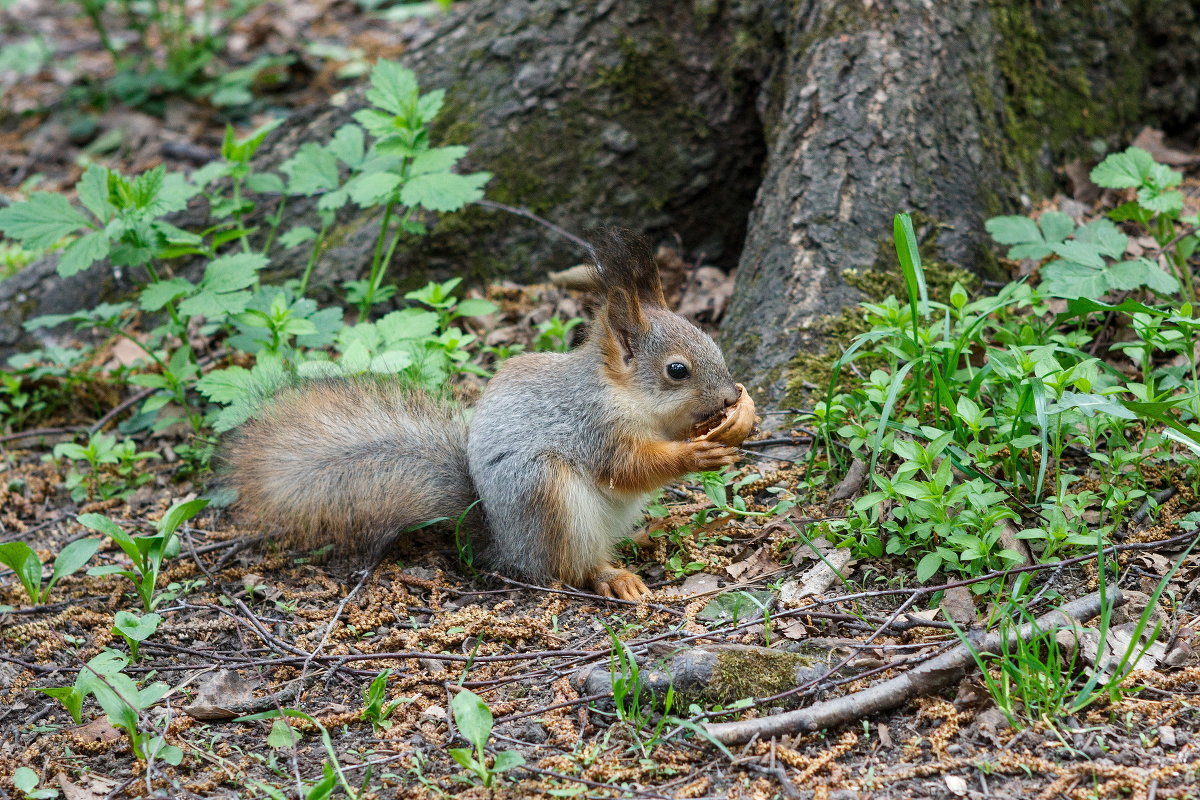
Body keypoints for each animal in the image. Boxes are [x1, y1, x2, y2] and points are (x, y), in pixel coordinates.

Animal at [220, 227, 753, 597]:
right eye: (677, 370)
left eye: (709, 338)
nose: (730, 395)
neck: (625, 396)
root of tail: (503, 542)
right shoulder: (592, 427)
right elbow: (628, 466)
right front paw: (695, 455)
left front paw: (739, 419)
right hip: (546, 494)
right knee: (568, 567)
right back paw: (611, 574)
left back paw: (647, 535)